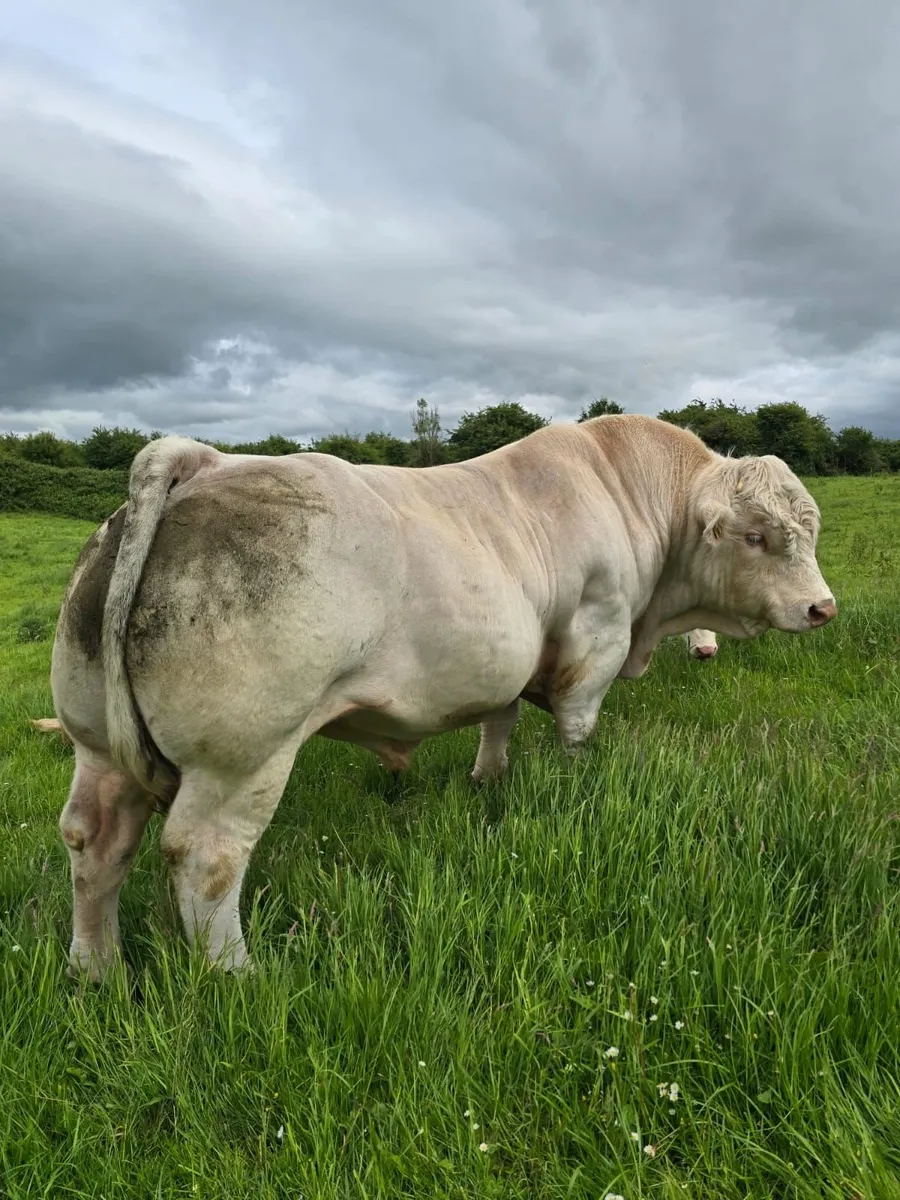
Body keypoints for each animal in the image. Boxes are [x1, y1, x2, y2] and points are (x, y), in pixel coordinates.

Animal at [49, 414, 835, 980]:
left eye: (809, 530)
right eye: (759, 537)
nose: (823, 608)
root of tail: (203, 463)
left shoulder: (508, 656)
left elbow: (500, 718)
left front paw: (489, 778)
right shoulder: (597, 635)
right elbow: (577, 726)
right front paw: (578, 781)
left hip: (97, 748)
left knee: (94, 843)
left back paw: (97, 970)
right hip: (243, 759)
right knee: (206, 859)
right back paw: (239, 977)